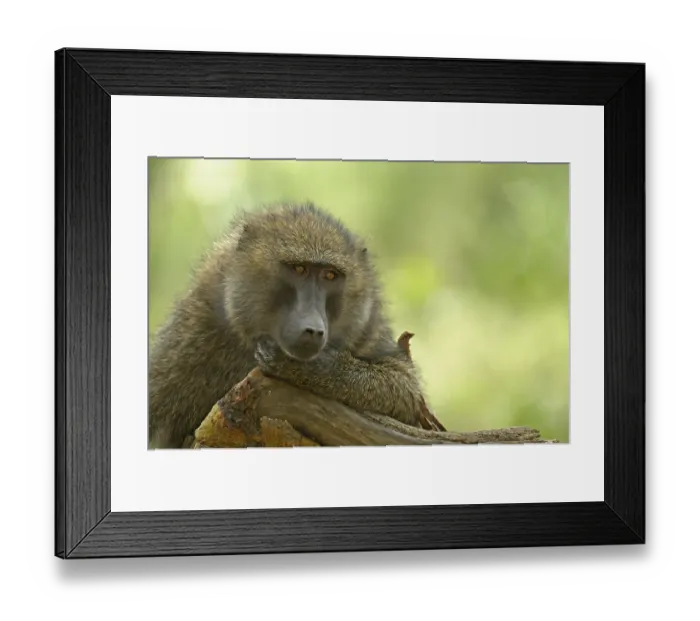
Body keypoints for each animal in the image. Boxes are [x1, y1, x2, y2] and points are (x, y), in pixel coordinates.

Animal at [148, 202, 429, 449]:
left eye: (330, 275)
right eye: (299, 269)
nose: (313, 329)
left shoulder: (367, 328)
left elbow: (404, 390)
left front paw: (303, 368)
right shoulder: (194, 328)